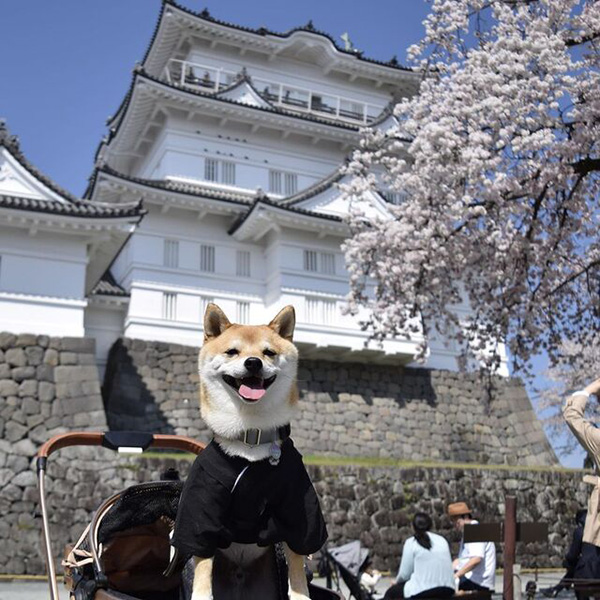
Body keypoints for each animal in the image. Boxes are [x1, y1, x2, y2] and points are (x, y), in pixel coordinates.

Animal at [171, 304, 326, 600]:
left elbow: (298, 559)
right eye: (232, 351)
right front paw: (202, 595)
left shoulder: (297, 506)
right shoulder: (201, 506)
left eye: (269, 353)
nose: (253, 362)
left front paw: (300, 594)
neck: (250, 435)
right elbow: (202, 557)